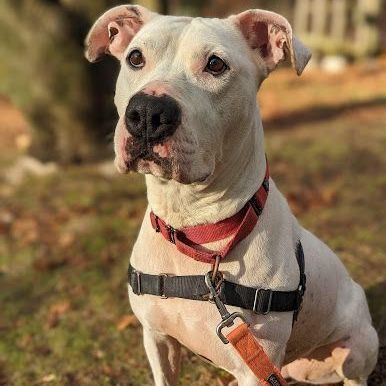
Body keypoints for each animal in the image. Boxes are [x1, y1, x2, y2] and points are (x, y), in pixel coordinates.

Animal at [86, 6, 378, 386]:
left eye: (215, 64)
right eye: (136, 58)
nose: (148, 112)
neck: (194, 227)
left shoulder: (253, 368)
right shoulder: (157, 338)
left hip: (358, 346)